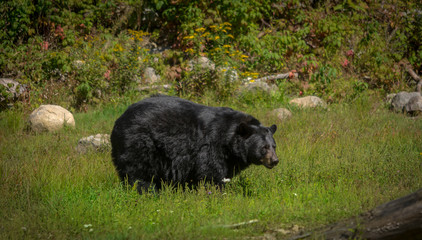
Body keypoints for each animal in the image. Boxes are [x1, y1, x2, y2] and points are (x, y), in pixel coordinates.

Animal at [110, 94, 278, 192]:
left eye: (274, 146)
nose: (275, 160)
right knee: (138, 171)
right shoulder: (211, 146)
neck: (228, 138)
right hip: (139, 142)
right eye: (264, 147)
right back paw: (146, 190)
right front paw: (216, 191)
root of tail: (119, 120)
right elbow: (210, 172)